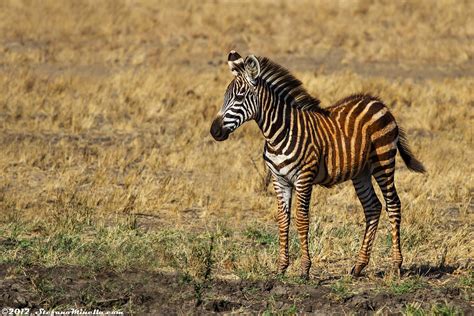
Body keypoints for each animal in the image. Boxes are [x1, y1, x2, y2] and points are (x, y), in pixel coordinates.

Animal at [209, 50, 424, 278]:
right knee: (373, 207)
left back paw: (396, 265)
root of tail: (378, 102)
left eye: (239, 97)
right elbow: (282, 220)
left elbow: (302, 220)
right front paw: (281, 267)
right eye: (225, 97)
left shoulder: (304, 178)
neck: (278, 133)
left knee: (393, 204)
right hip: (361, 171)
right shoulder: (279, 180)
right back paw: (359, 266)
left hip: (383, 161)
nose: (214, 131)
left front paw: (304, 268)